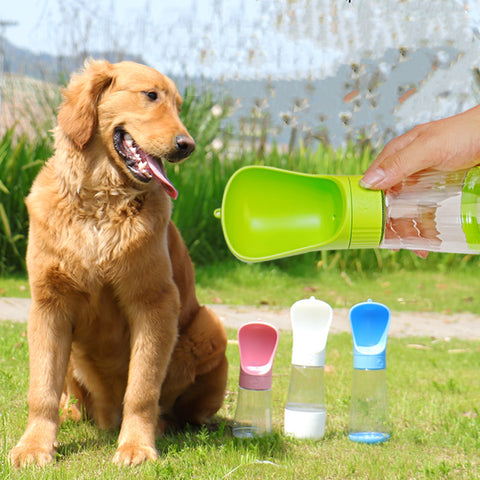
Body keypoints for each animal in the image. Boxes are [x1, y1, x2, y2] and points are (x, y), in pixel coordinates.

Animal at [8, 58, 229, 466]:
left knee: (187, 411)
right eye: (150, 95)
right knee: (69, 397)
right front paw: (34, 446)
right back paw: (71, 412)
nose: (187, 146)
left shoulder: (155, 302)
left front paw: (136, 445)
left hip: (210, 326)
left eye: (178, 105)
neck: (100, 202)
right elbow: (42, 389)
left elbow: (142, 390)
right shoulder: (49, 304)